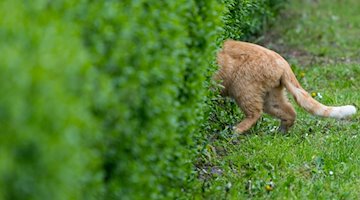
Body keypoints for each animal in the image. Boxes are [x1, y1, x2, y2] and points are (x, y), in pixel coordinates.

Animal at [215, 39, 356, 134]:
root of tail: (282, 60)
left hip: (243, 88)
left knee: (256, 113)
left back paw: (236, 130)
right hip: (270, 97)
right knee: (290, 111)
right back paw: (280, 132)